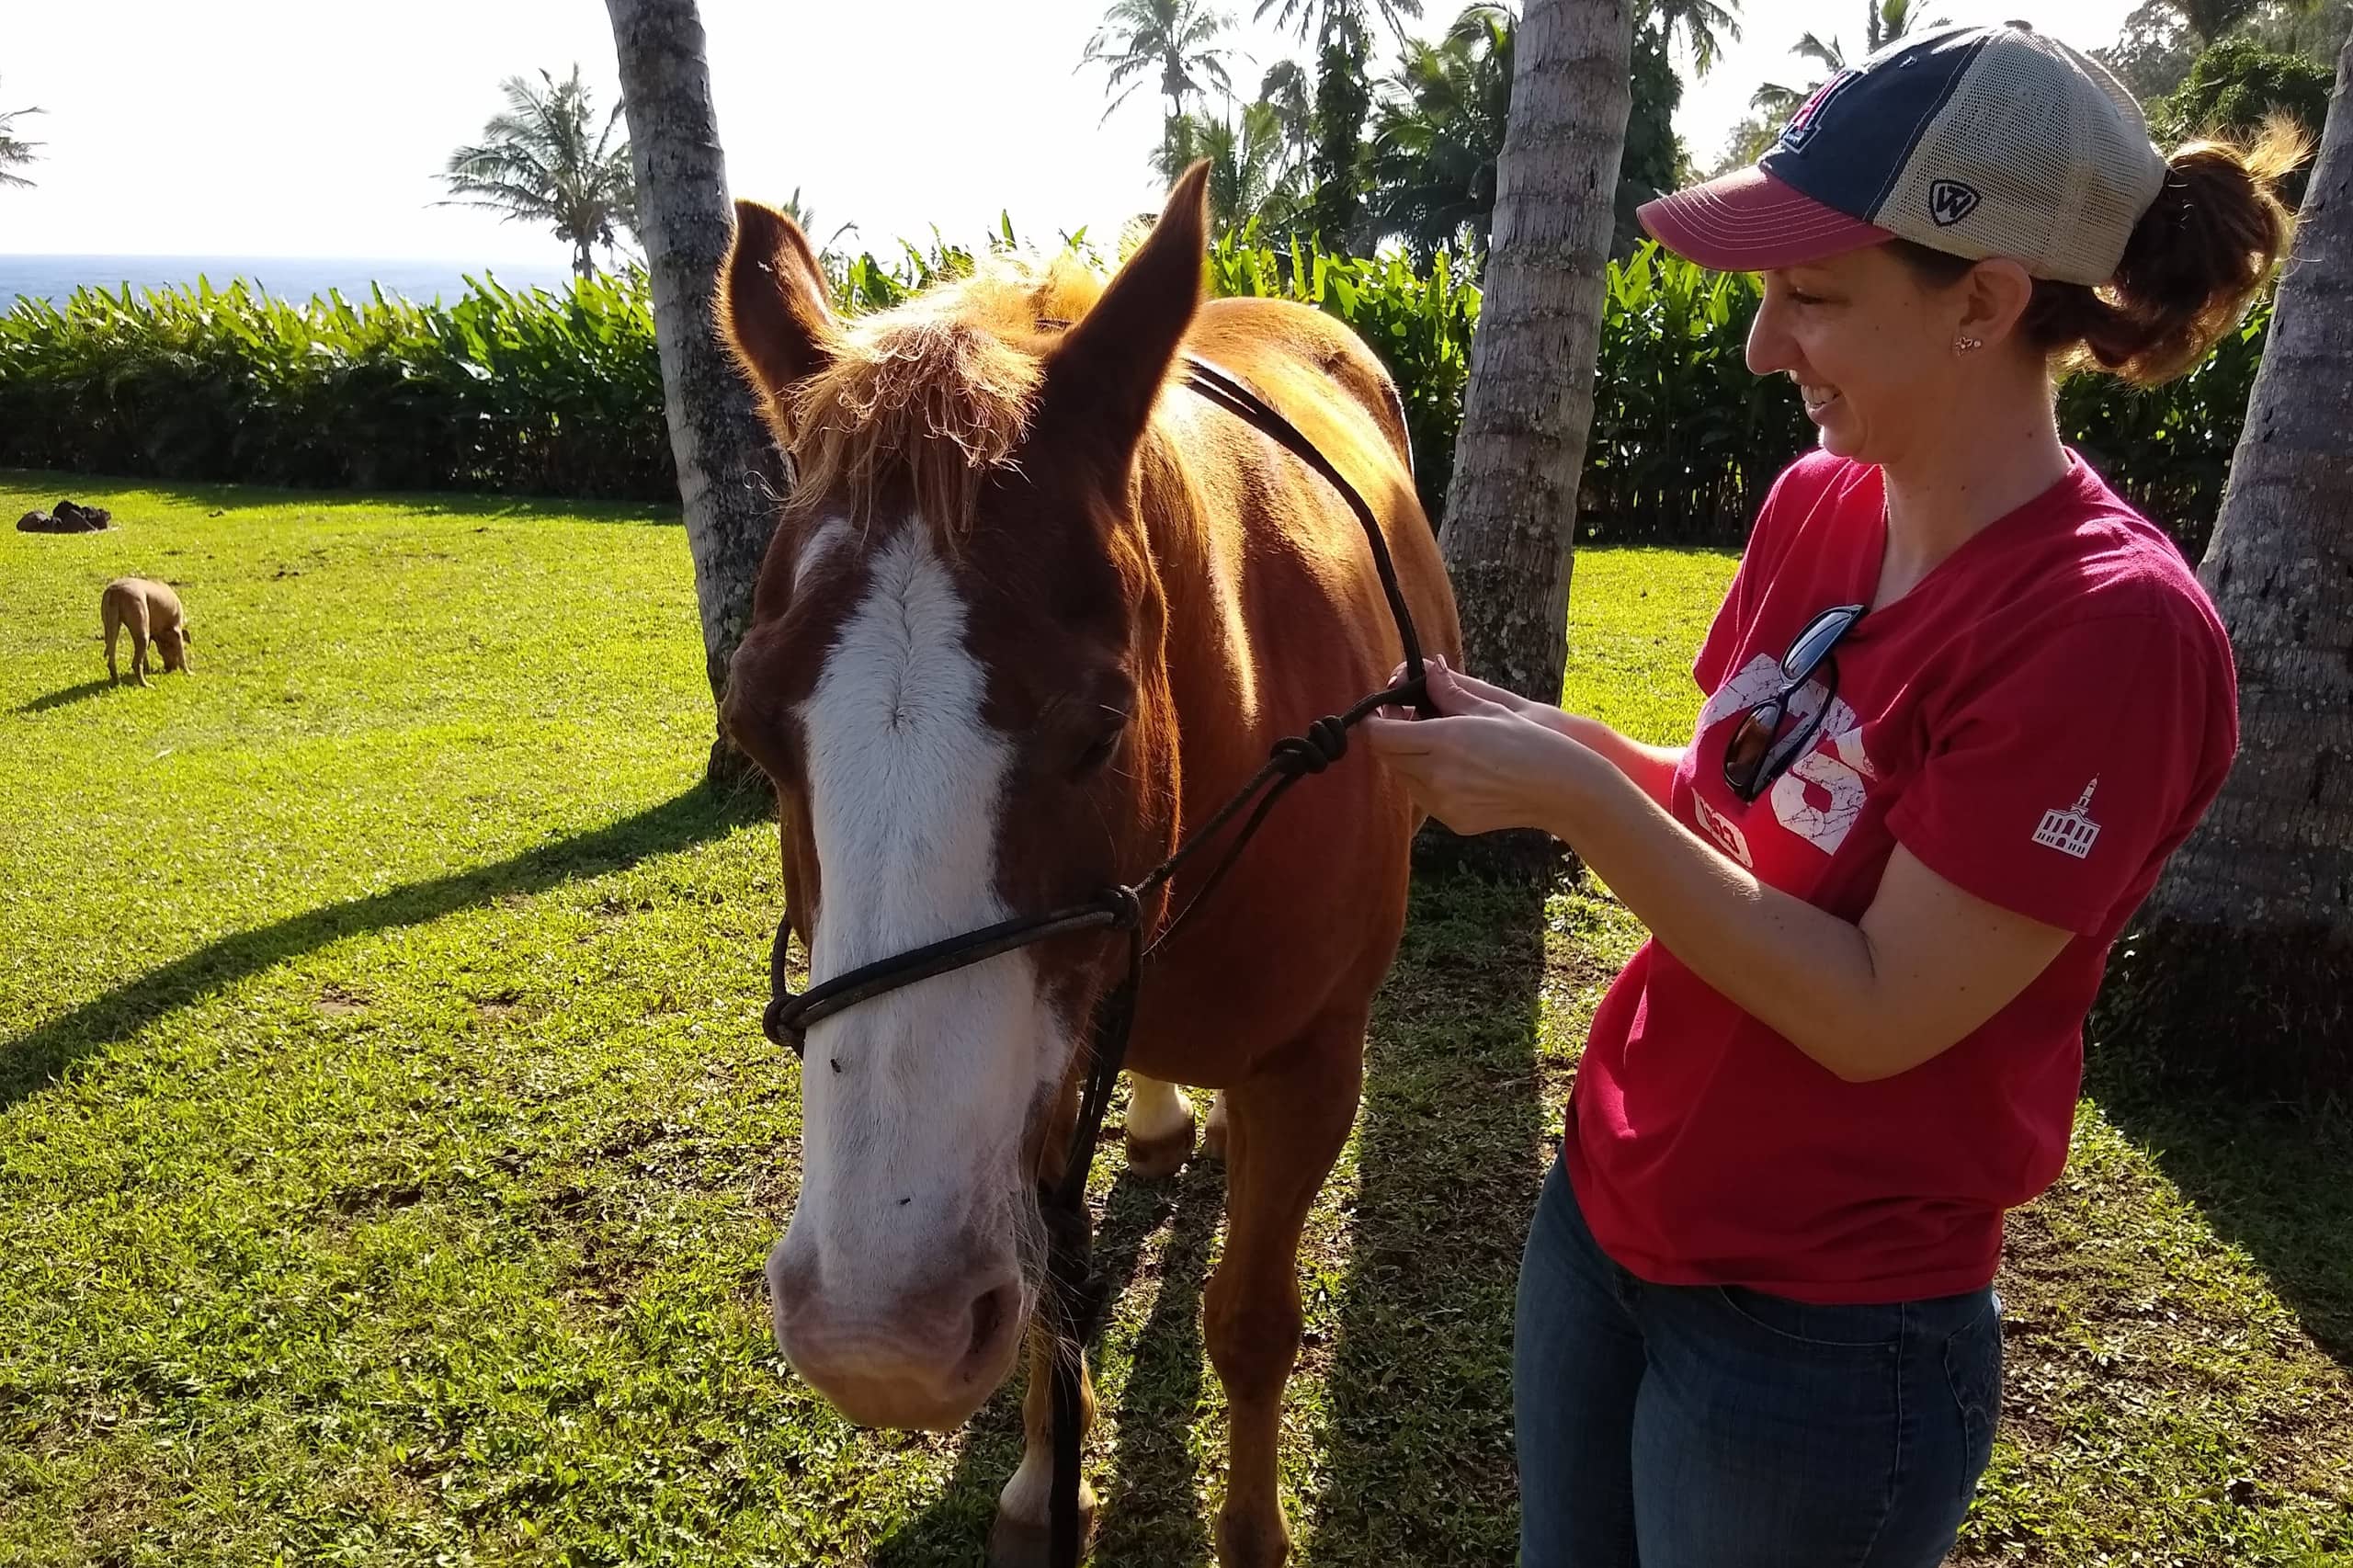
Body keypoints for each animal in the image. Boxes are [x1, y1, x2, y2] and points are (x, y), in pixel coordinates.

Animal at [715, 163, 1462, 1567]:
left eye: (1101, 727)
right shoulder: (1035, 1068)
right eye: (752, 735)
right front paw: (1040, 1478)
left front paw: (1252, 1529)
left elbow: (1251, 1321)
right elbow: (1051, 1287)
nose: (877, 1335)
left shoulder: (1316, 1065)